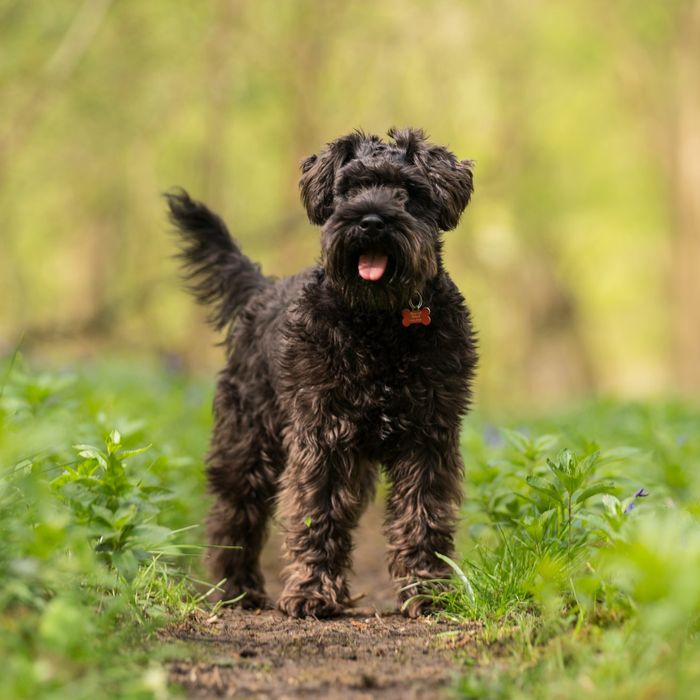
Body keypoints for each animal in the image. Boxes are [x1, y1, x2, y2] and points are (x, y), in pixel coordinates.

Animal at [167, 127, 478, 616]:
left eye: (408, 192)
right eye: (348, 189)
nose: (370, 220)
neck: (380, 324)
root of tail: (263, 289)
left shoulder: (429, 437)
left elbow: (423, 515)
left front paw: (428, 591)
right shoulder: (322, 433)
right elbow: (317, 511)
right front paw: (312, 591)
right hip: (247, 443)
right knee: (234, 516)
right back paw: (238, 589)